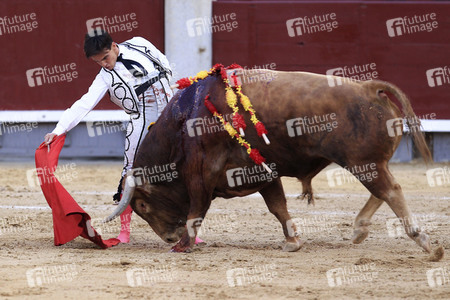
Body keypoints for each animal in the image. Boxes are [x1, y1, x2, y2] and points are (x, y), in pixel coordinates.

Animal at [105, 68, 436, 253]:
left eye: (143, 205)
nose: (169, 237)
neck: (185, 122)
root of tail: (369, 87)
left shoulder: (200, 173)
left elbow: (196, 210)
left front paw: (184, 246)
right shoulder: (263, 173)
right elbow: (278, 207)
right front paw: (293, 242)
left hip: (362, 162)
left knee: (390, 191)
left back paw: (423, 242)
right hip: (368, 163)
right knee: (383, 191)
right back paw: (359, 230)